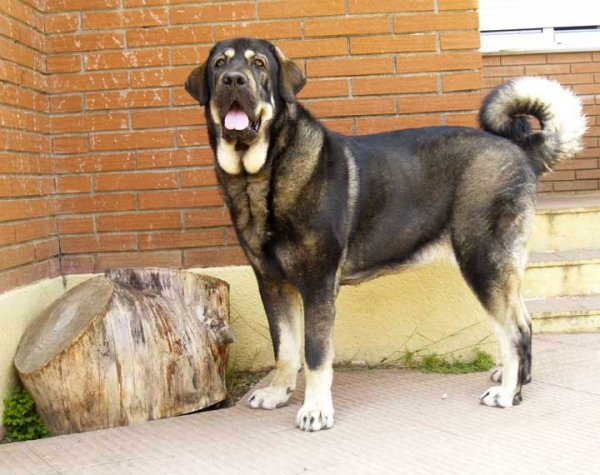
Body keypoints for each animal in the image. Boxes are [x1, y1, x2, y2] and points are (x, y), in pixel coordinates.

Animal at [184, 36, 584, 432]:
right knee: (522, 323)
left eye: (259, 65)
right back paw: (515, 381)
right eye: (219, 64)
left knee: (514, 329)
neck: (263, 174)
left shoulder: (317, 285)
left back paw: (507, 393)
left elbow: (314, 354)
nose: (233, 80)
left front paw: (315, 410)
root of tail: (523, 150)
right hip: (494, 268)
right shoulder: (273, 283)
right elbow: (284, 346)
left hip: (483, 261)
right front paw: (278, 392)